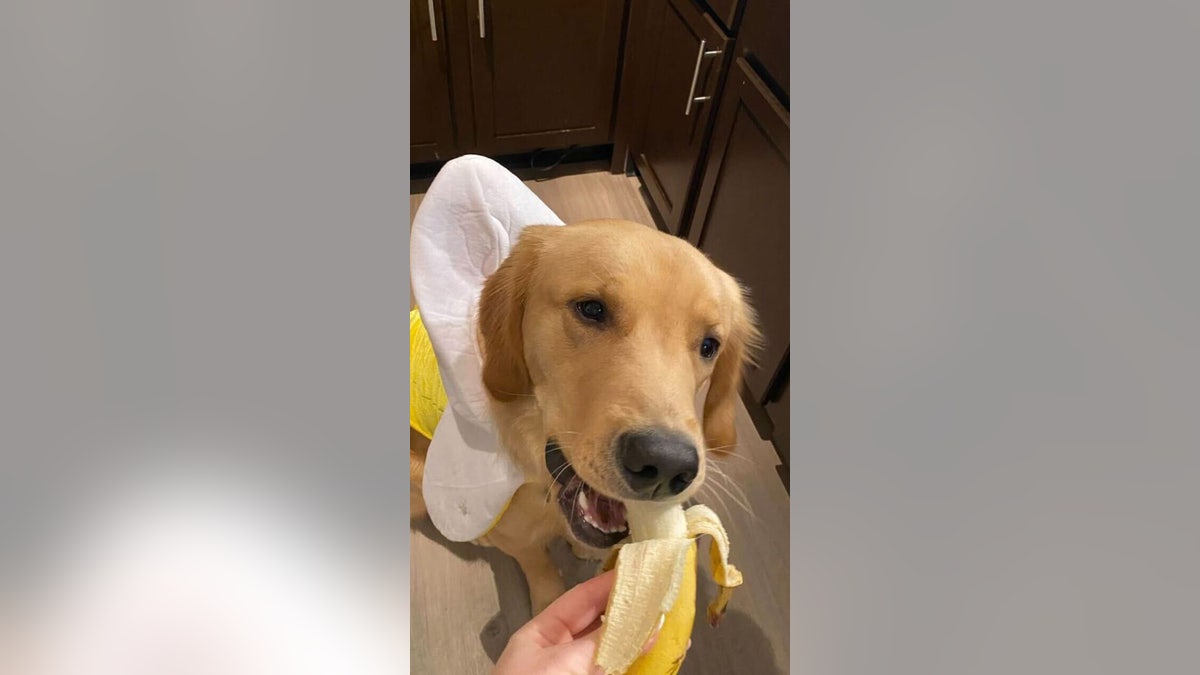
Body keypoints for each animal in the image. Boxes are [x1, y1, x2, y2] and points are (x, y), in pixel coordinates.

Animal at [408, 219, 753, 610]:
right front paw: (549, 600)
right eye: (591, 309)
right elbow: (540, 569)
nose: (666, 464)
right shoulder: (517, 537)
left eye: (710, 345)